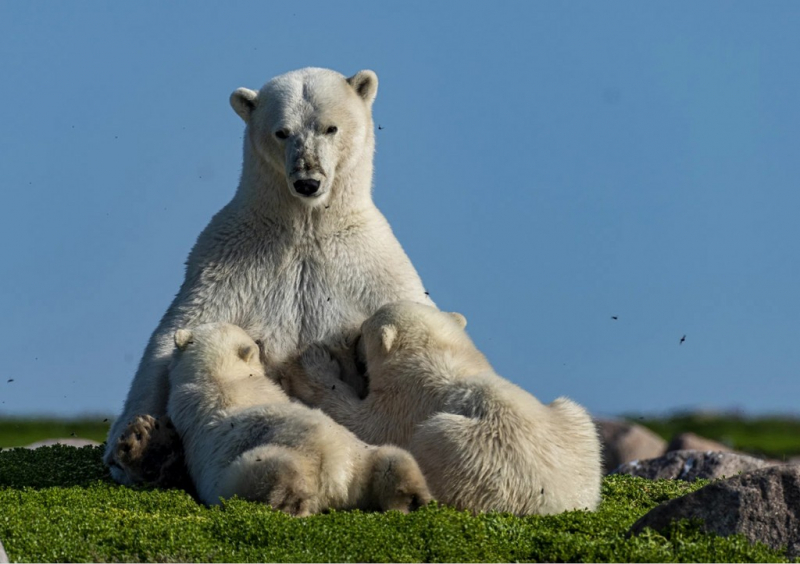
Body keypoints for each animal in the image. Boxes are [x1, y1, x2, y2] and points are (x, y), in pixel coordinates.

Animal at [106, 67, 434, 484]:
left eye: (330, 128)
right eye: (282, 131)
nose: (307, 180)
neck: (305, 227)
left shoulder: (372, 268)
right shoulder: (228, 263)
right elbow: (174, 336)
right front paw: (138, 441)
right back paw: (148, 445)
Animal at [282, 304, 600, 516]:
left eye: (363, 331)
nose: (351, 338)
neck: (438, 353)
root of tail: (555, 503)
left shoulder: (405, 402)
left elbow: (361, 423)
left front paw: (314, 362)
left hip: (470, 454)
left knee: (434, 439)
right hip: (576, 425)